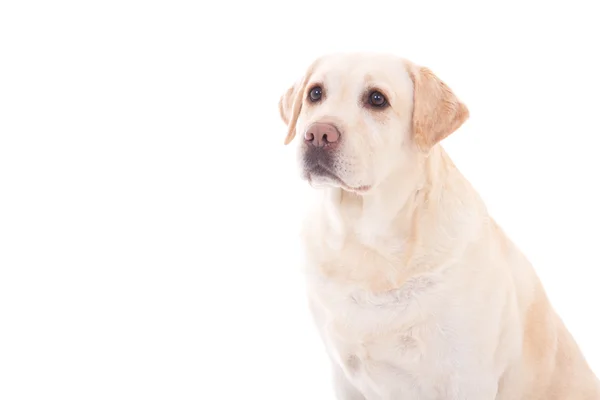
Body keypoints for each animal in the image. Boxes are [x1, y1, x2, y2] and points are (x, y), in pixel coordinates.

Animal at [278, 51, 600, 398]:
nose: (318, 134)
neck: (367, 241)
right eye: (315, 93)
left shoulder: (467, 377)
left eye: (377, 99)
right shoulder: (344, 375)